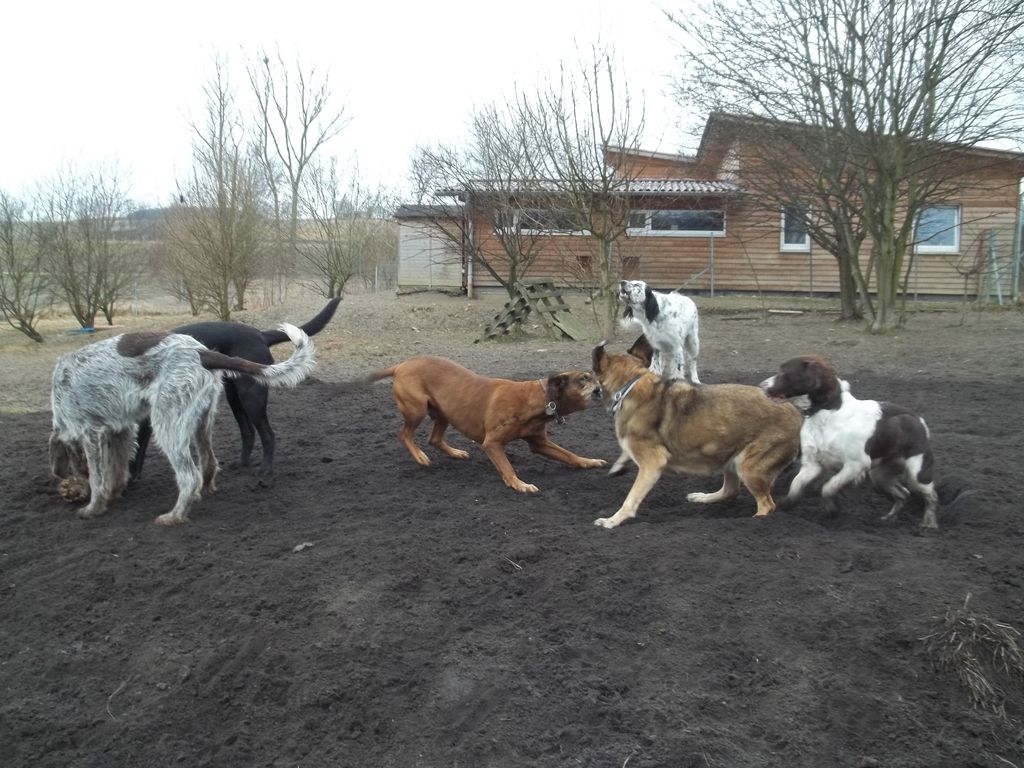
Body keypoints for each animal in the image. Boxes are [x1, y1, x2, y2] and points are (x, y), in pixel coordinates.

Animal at [49, 324, 316, 525]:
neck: (60, 395)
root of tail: (201, 352)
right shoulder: (120, 430)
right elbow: (117, 467)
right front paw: (114, 494)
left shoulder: (91, 433)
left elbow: (98, 477)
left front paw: (93, 507)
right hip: (201, 421)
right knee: (208, 464)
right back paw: (203, 493)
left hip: (167, 424)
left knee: (189, 476)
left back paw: (174, 516)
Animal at [129, 298, 340, 479]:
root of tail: (260, 334)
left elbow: (135, 454)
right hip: (234, 397)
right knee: (248, 432)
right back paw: (242, 464)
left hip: (251, 397)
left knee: (268, 435)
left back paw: (266, 470)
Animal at [365, 356, 606, 493]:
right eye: (584, 378)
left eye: (594, 377)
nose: (601, 387)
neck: (539, 398)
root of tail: (401, 365)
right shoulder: (492, 444)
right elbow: (507, 467)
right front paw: (520, 484)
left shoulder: (539, 442)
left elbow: (569, 455)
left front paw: (589, 461)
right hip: (416, 409)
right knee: (404, 434)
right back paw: (420, 456)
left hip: (443, 412)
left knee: (433, 438)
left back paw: (455, 453)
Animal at [592, 341, 801, 528]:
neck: (629, 385)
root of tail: (798, 415)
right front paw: (618, 467)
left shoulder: (652, 463)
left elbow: (631, 498)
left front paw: (613, 520)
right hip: (731, 458)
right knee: (730, 491)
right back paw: (703, 497)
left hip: (749, 467)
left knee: (767, 505)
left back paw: (755, 521)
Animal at [760, 355, 947, 529]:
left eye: (784, 372)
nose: (761, 385)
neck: (827, 413)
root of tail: (919, 420)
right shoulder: (812, 464)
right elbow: (796, 485)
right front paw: (787, 503)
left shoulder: (855, 465)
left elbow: (827, 487)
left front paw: (832, 510)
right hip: (880, 476)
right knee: (903, 493)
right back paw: (889, 519)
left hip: (917, 473)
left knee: (931, 496)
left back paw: (929, 524)